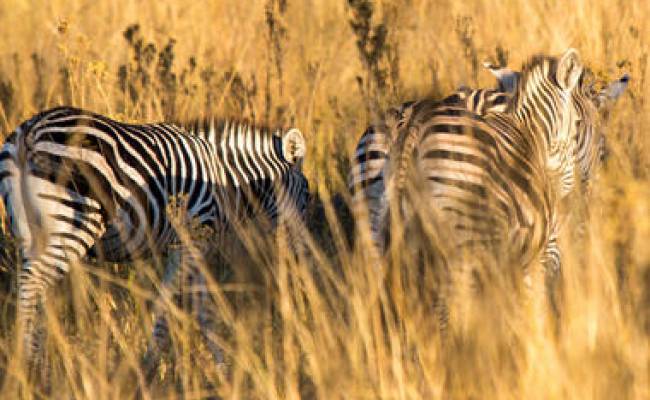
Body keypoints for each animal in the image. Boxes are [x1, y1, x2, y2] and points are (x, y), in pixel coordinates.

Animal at [0, 105, 308, 366]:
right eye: (307, 196)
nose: (302, 254)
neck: (225, 178)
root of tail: (30, 132)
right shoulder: (191, 237)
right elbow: (168, 301)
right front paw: (151, 363)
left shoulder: (195, 243)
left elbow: (203, 308)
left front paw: (220, 365)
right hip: (76, 221)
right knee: (32, 282)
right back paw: (28, 361)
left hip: (30, 232)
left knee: (34, 287)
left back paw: (36, 360)